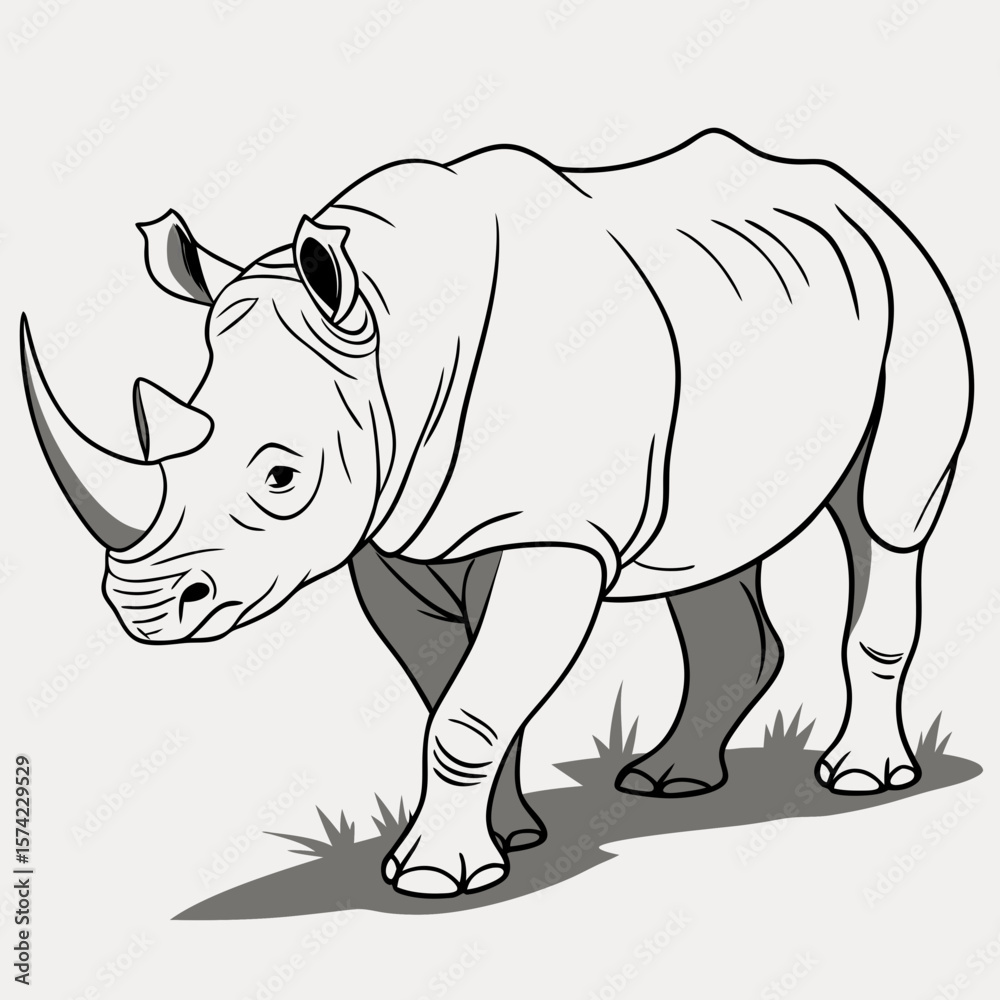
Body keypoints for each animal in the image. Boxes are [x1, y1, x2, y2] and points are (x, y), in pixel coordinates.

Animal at [22, 129, 972, 898]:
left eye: (283, 477)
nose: (142, 608)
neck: (396, 339)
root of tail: (857, 195)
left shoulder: (553, 533)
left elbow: (468, 712)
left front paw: (433, 881)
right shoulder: (395, 535)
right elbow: (456, 690)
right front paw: (511, 840)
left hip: (908, 285)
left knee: (886, 518)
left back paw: (860, 779)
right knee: (708, 552)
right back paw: (667, 783)